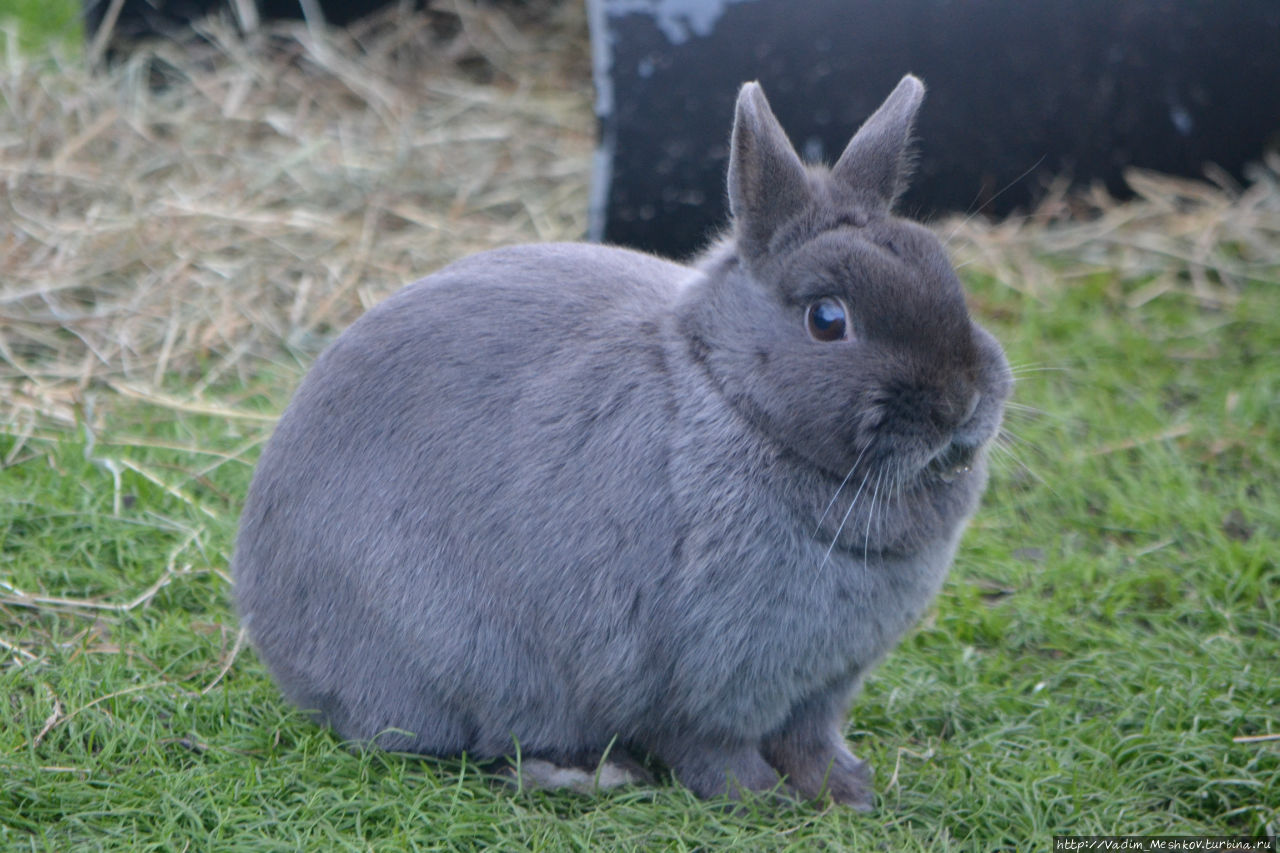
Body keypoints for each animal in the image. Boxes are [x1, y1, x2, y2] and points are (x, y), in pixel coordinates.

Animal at [230, 73, 1008, 804]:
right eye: (826, 319)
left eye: (944, 272)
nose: (961, 402)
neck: (726, 393)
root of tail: (268, 622)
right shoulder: (702, 676)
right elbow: (712, 750)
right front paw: (758, 799)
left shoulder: (821, 685)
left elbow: (810, 740)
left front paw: (845, 792)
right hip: (453, 664)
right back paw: (586, 774)